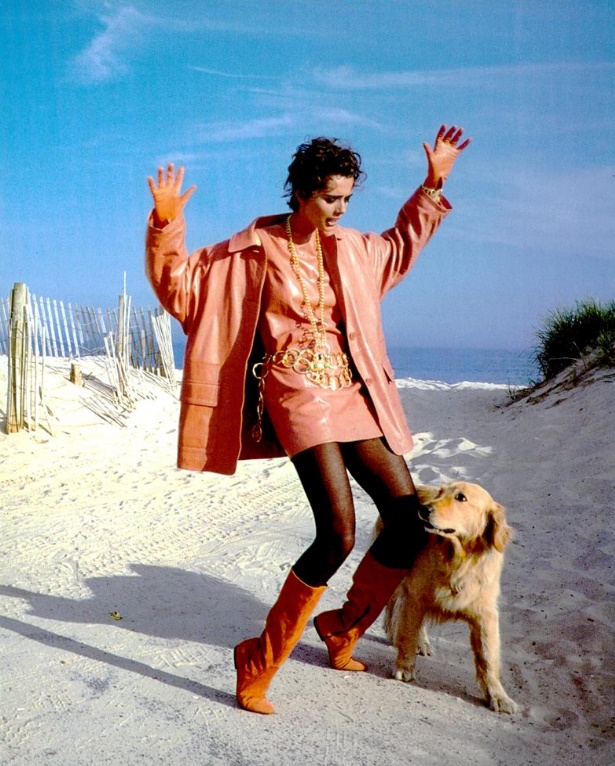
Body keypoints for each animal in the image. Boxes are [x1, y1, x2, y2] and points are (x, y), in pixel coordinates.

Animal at [377, 481, 518, 714]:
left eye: (461, 498)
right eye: (441, 492)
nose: (423, 510)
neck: (459, 561)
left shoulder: (485, 616)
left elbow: (488, 657)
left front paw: (499, 696)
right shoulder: (415, 597)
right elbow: (407, 634)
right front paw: (404, 667)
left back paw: (422, 643)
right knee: (392, 604)